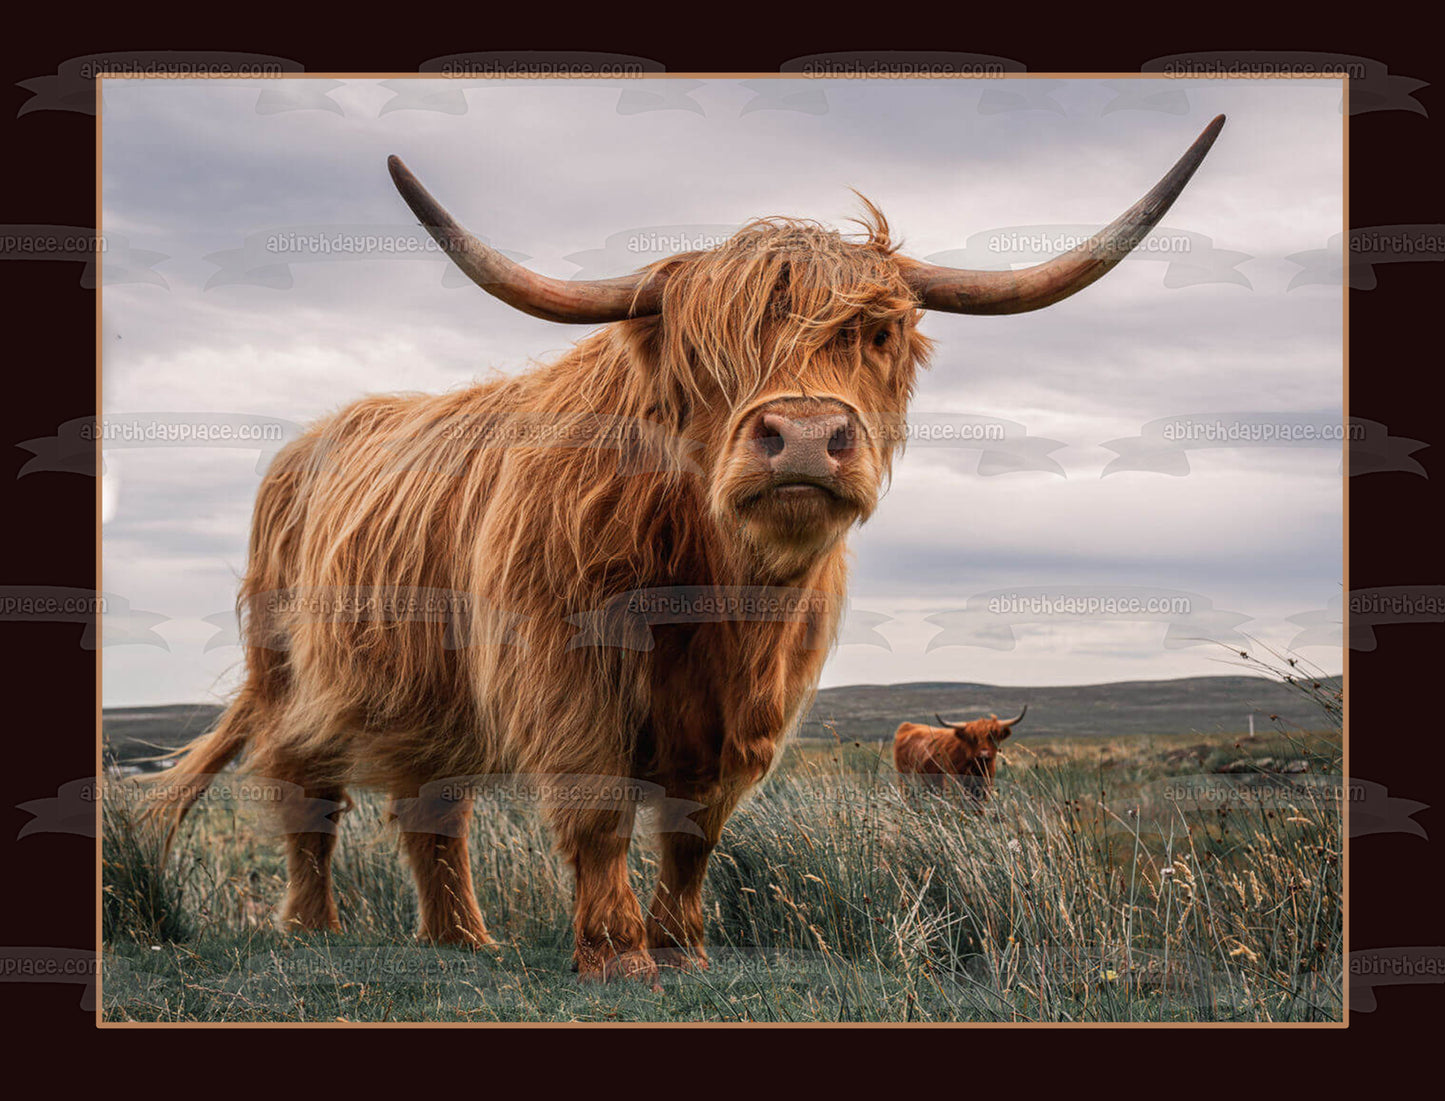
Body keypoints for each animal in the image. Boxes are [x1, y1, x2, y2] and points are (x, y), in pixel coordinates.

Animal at [890, 702, 1028, 797]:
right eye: (972, 738)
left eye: (993, 736)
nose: (984, 754)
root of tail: (907, 726)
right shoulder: (953, 785)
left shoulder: (984, 788)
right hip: (905, 779)